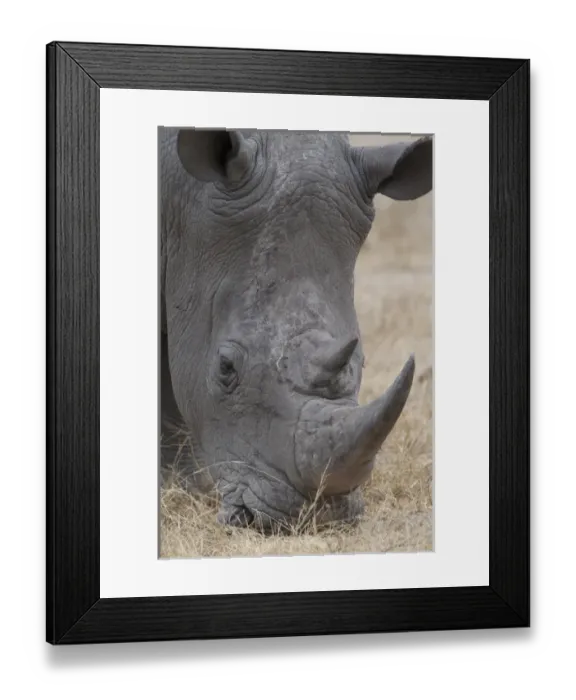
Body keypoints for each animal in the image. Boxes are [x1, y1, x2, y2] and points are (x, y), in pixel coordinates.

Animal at [160, 127, 432, 531]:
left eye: (362, 362)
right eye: (225, 368)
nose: (313, 517)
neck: (185, 192)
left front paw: (186, 487)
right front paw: (174, 488)